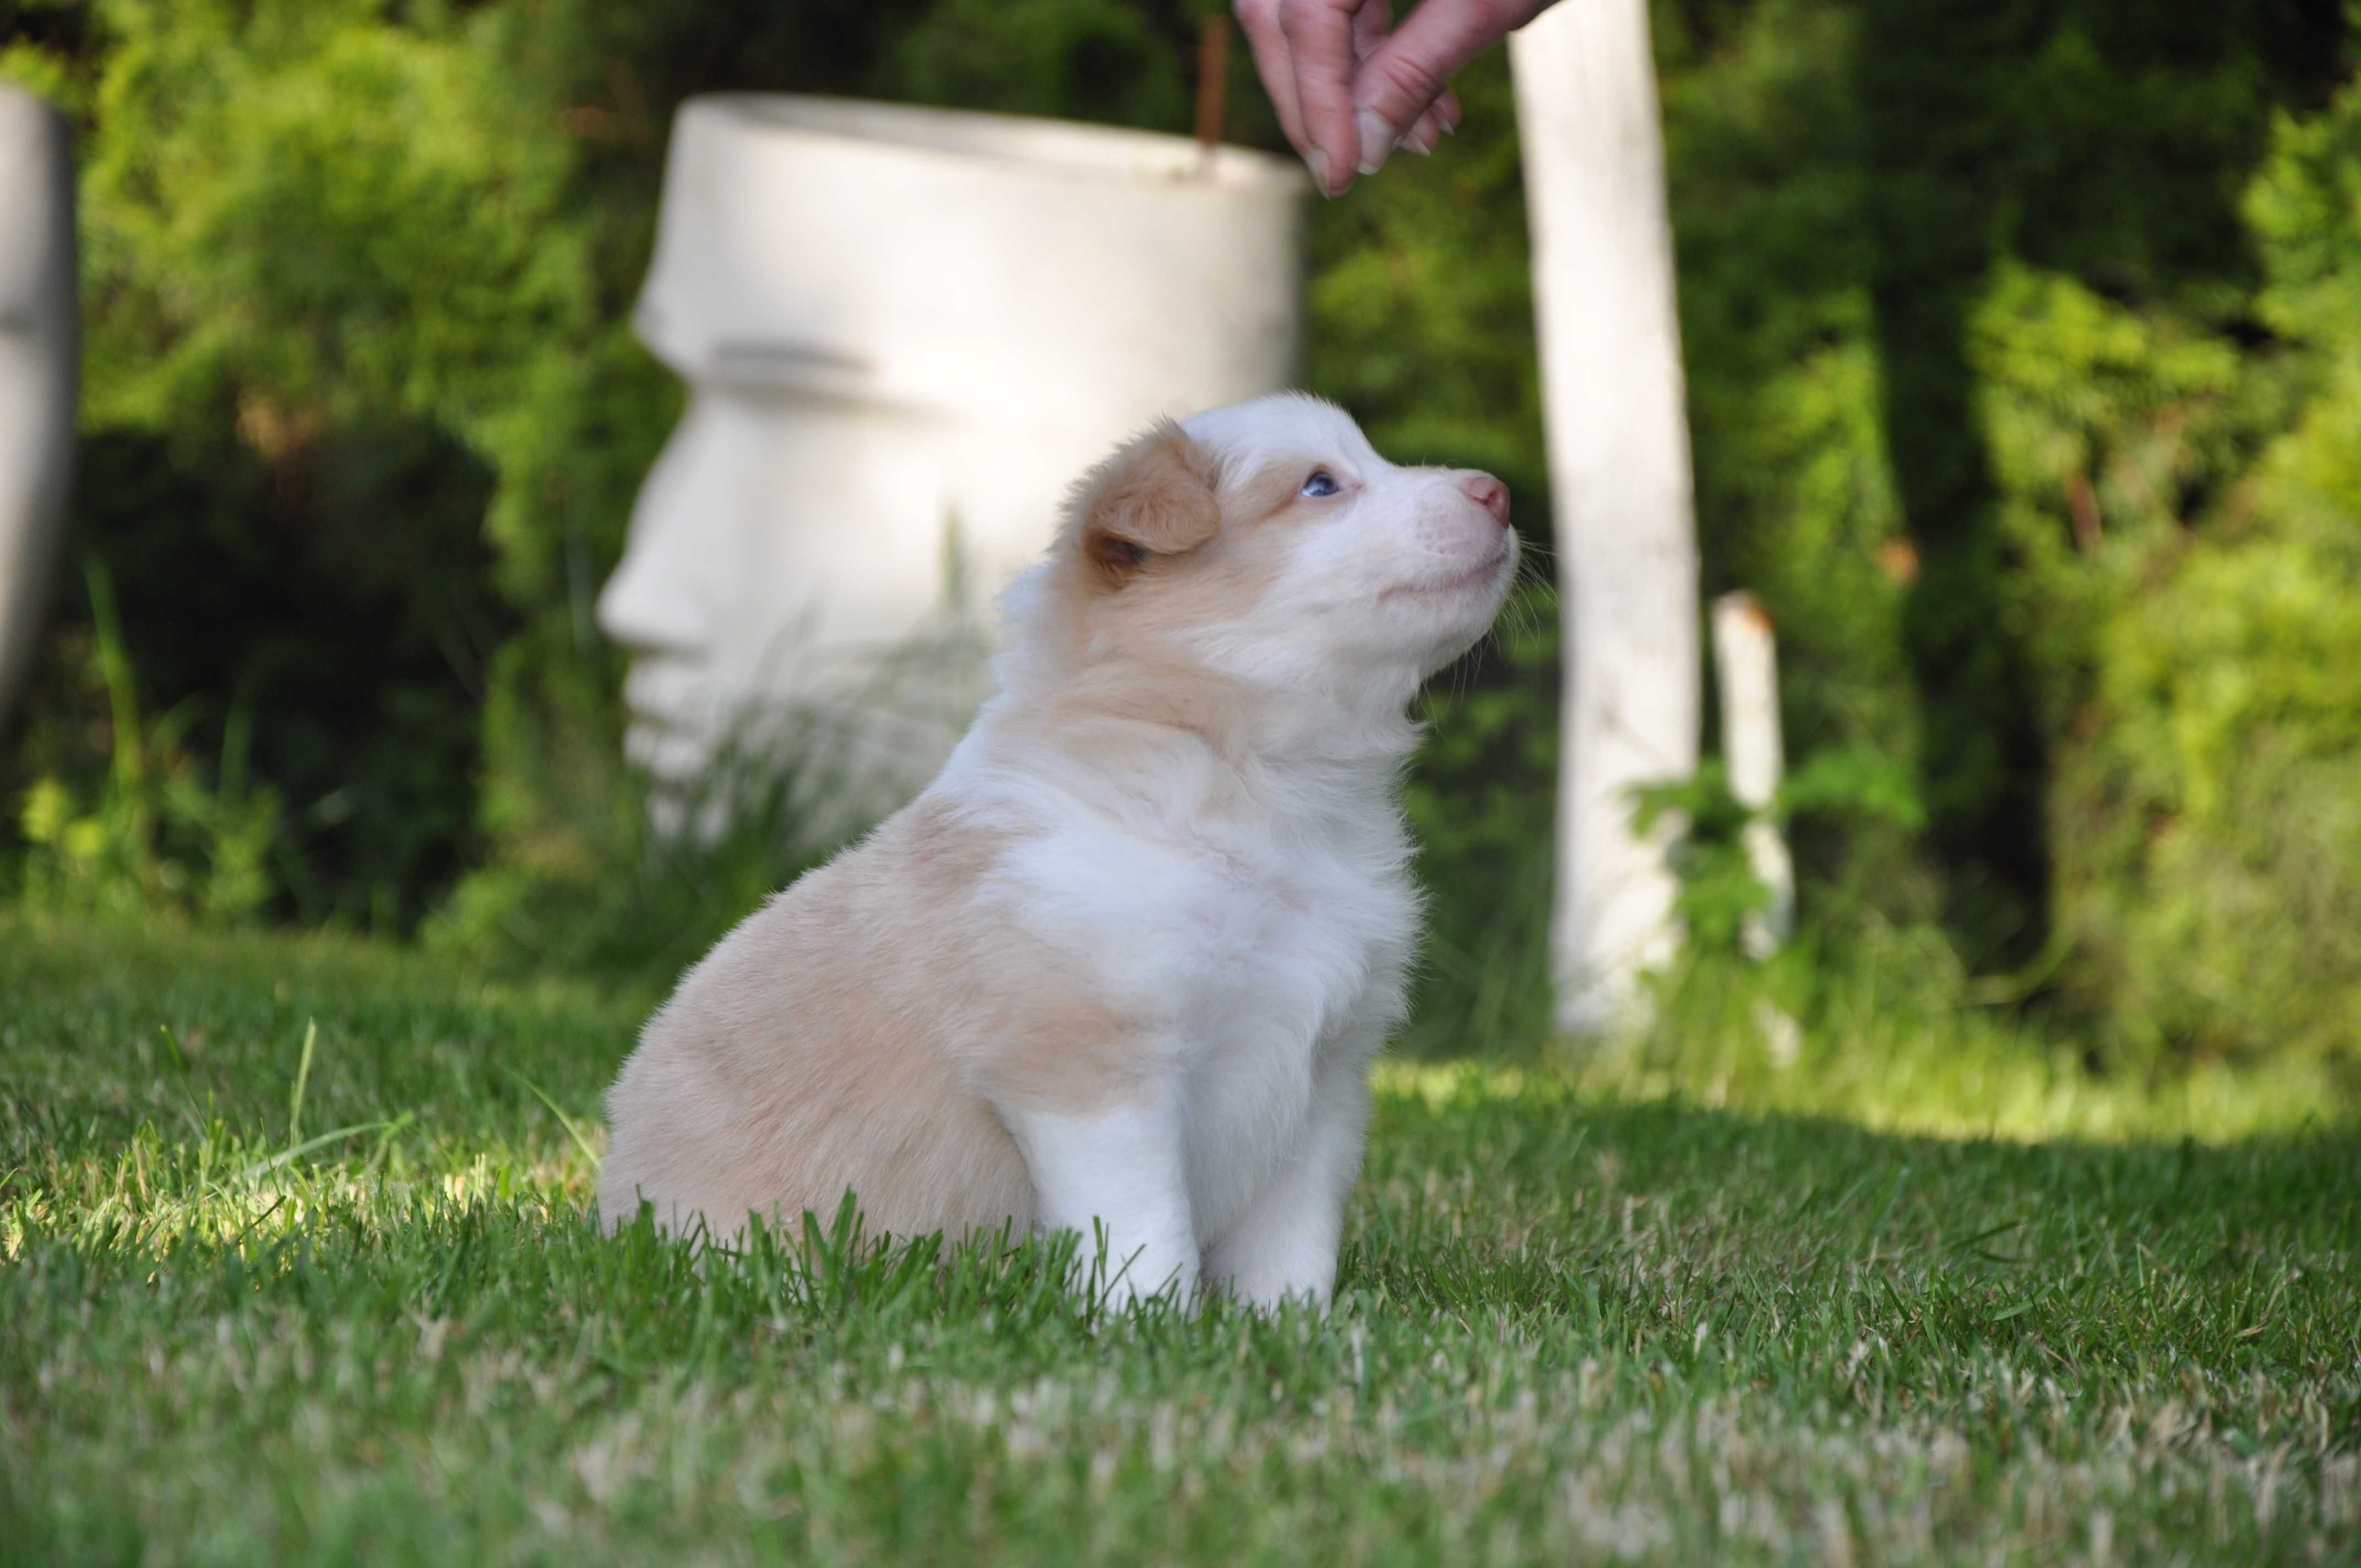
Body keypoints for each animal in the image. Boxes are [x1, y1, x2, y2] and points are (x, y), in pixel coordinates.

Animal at [595, 394, 1511, 1313]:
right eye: (1321, 485)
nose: (1499, 493)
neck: (1253, 788)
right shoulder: (1095, 1071)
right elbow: (1146, 1228)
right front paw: (1154, 1326)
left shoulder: (1327, 1075)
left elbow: (1292, 1243)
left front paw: (1291, 1326)